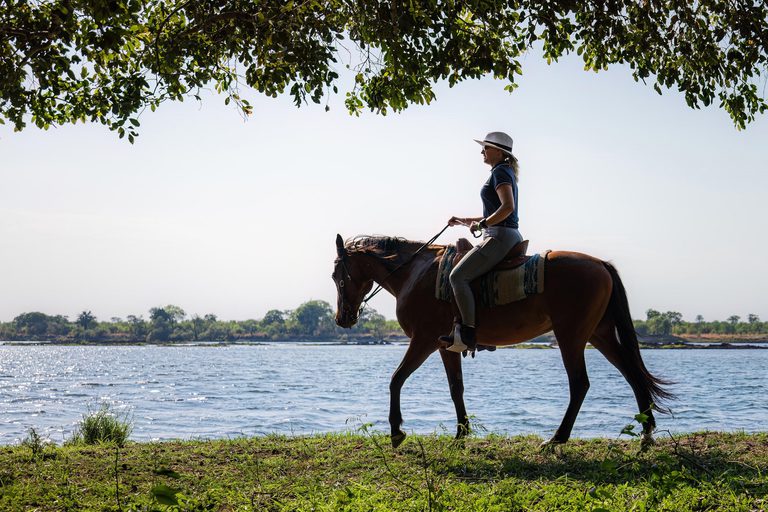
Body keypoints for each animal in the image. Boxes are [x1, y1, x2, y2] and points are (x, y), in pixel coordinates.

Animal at [332, 233, 673, 449]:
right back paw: (646, 433)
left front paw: (396, 430)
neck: (414, 273)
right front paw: (461, 434)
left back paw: (557, 439)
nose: (342, 318)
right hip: (598, 334)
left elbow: (396, 379)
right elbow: (456, 388)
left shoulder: (424, 340)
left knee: (580, 384)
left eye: (338, 277)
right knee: (632, 374)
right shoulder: (445, 345)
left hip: (571, 335)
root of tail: (601, 263)